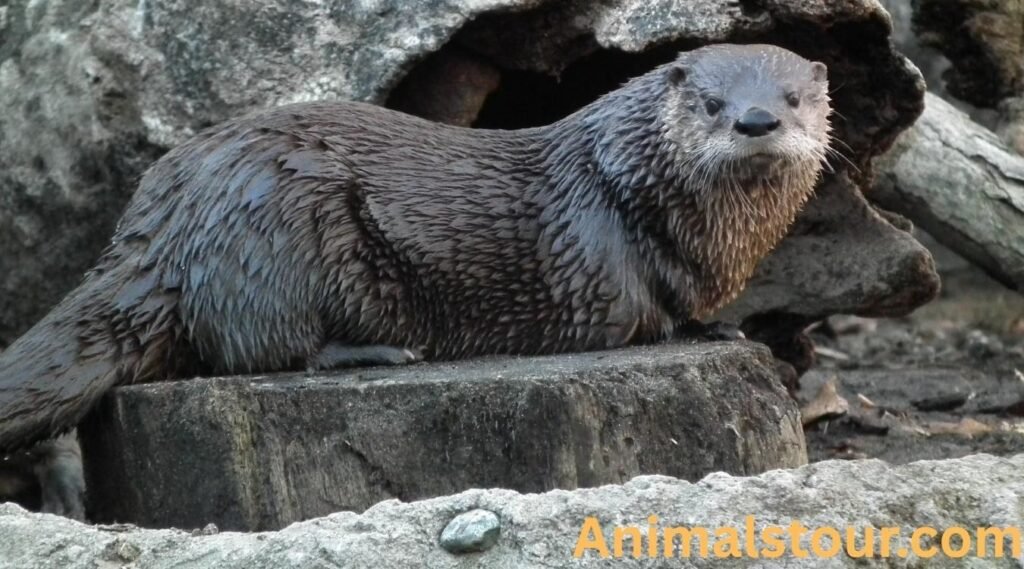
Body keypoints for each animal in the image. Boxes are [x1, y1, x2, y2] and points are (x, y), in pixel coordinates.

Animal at [0, 44, 830, 493]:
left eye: (793, 97)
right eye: (714, 103)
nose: (757, 120)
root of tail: (155, 221)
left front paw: (731, 324)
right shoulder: (601, 258)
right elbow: (639, 316)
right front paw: (713, 330)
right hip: (276, 223)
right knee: (256, 344)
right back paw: (377, 349)